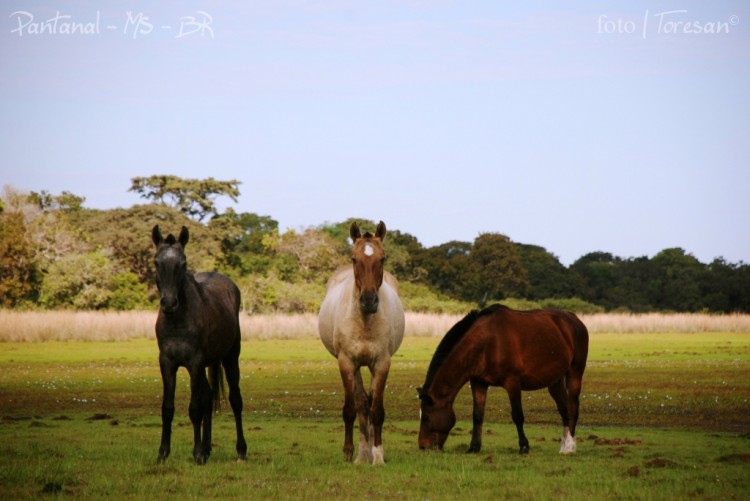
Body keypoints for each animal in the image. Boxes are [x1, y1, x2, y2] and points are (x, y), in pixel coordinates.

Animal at [151, 225, 248, 462]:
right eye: (156, 262)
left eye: (183, 263)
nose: (169, 303)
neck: (177, 321)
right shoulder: (167, 363)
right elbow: (167, 408)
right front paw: (163, 453)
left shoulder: (194, 363)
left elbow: (195, 408)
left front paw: (196, 454)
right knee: (209, 397)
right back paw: (207, 448)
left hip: (230, 358)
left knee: (235, 399)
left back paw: (240, 450)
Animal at [320, 221, 408, 462]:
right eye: (354, 259)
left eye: (383, 258)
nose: (369, 301)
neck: (365, 321)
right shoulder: (347, 362)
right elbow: (351, 408)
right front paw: (349, 453)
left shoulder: (382, 363)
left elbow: (376, 410)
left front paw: (378, 456)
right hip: (357, 366)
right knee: (361, 404)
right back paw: (361, 455)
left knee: (367, 403)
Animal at [420, 302, 592, 456]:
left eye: (426, 417)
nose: (422, 446)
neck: (487, 343)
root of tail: (573, 318)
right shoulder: (478, 383)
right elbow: (477, 416)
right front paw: (474, 447)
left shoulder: (512, 382)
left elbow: (517, 415)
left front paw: (524, 447)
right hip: (555, 381)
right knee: (564, 410)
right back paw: (564, 447)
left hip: (575, 373)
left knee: (573, 407)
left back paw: (570, 447)